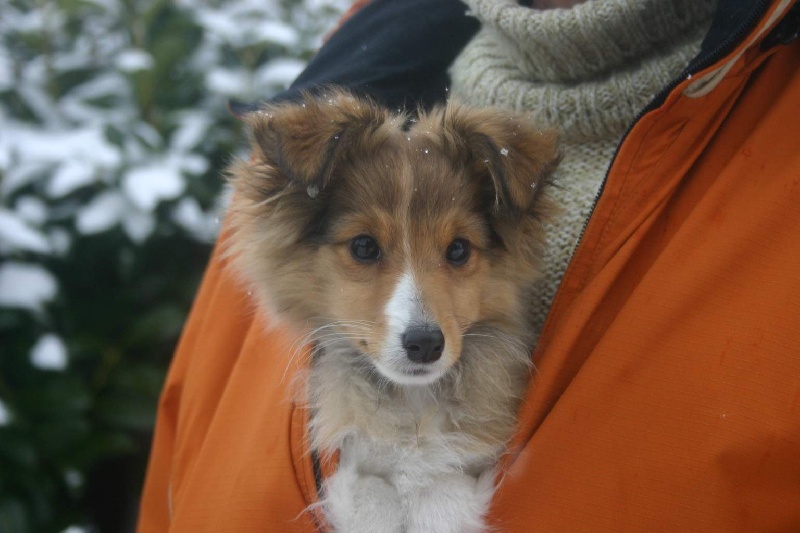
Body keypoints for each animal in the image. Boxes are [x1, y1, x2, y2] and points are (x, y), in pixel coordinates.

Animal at [227, 91, 556, 532]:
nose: (425, 344)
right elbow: (372, 496)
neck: (412, 405)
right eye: (364, 246)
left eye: (458, 249)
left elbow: (442, 495)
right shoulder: (351, 462)